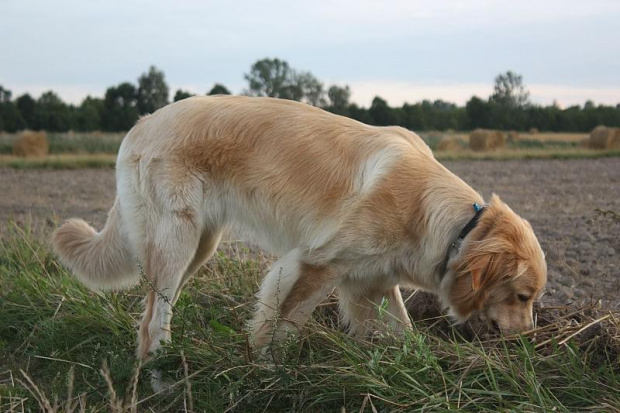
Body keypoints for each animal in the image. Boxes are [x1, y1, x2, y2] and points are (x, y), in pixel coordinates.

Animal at [53, 95, 544, 366]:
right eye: (522, 297)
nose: (527, 340)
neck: (445, 220)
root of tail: (142, 123)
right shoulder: (313, 265)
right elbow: (278, 330)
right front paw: (268, 374)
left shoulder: (371, 283)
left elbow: (403, 335)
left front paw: (424, 370)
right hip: (176, 241)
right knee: (152, 321)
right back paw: (162, 371)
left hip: (199, 246)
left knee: (154, 307)